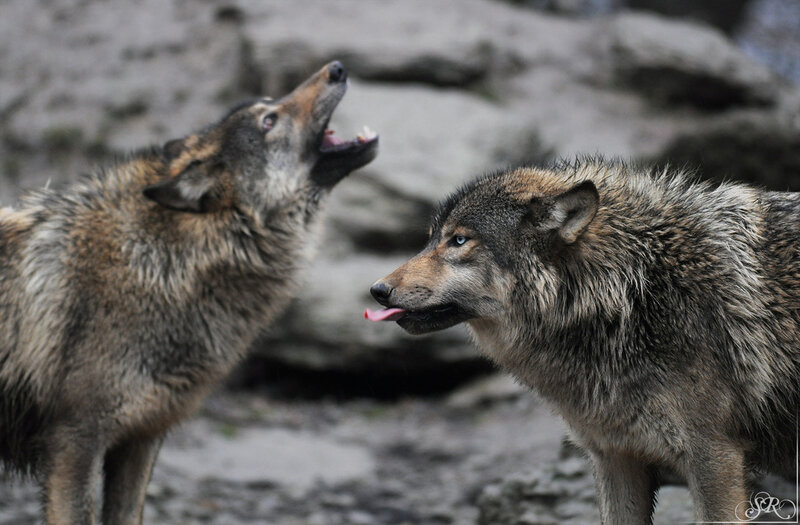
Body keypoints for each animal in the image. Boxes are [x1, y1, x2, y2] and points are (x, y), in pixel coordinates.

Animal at [0, 61, 377, 525]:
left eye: (270, 109)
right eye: (268, 121)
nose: (337, 68)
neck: (164, 262)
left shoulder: (142, 439)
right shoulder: (75, 442)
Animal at [367, 160, 799, 524]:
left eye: (459, 241)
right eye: (431, 240)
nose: (377, 291)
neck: (628, 294)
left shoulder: (715, 457)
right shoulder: (615, 458)